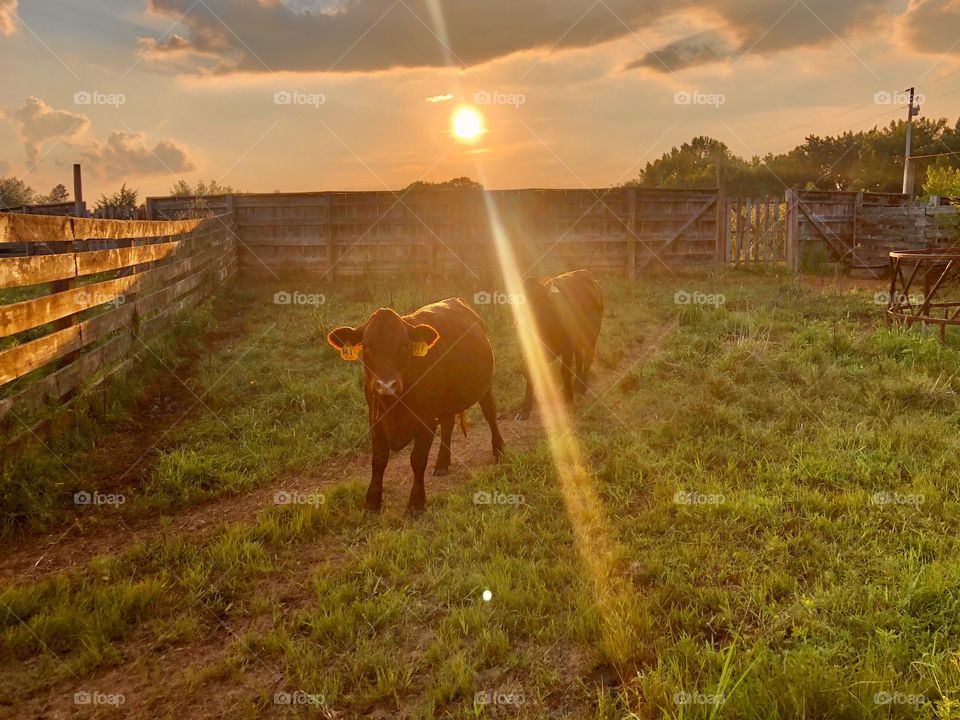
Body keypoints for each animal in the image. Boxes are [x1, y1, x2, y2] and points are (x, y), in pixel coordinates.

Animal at [327, 298, 504, 514]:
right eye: (367, 346)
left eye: (404, 345)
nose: (386, 385)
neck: (395, 406)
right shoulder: (375, 421)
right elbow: (378, 460)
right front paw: (372, 501)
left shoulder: (426, 421)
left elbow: (417, 460)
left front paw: (416, 502)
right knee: (448, 425)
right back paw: (442, 463)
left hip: (484, 387)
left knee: (490, 414)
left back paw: (499, 450)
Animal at [516, 269, 603, 420]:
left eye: (540, 300)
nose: (522, 322)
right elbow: (531, 374)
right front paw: (525, 408)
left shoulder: (567, 347)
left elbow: (564, 371)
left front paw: (568, 397)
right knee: (580, 359)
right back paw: (578, 386)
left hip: (591, 337)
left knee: (588, 358)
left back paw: (581, 388)